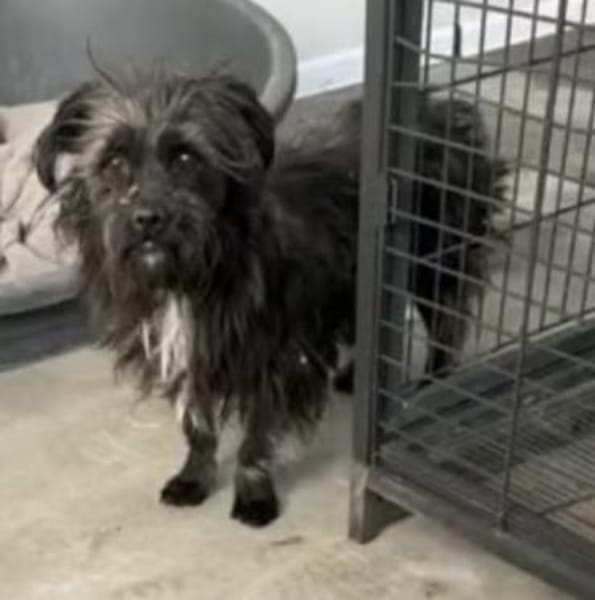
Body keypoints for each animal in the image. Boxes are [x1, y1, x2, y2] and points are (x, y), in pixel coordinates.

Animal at [34, 68, 505, 527]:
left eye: (186, 158)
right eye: (114, 162)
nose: (147, 218)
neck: (192, 275)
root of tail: (444, 108)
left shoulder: (273, 358)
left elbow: (255, 440)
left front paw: (254, 496)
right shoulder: (187, 356)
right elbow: (197, 426)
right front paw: (194, 478)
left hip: (433, 262)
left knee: (446, 329)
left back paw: (430, 391)